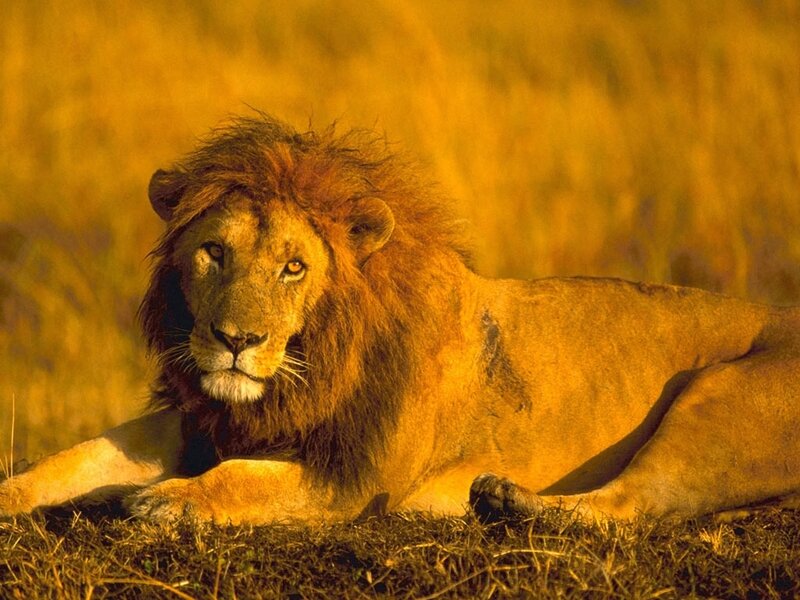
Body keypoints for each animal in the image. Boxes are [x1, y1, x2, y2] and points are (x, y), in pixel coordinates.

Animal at [2, 114, 800, 525]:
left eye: (294, 267)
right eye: (213, 252)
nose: (235, 342)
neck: (305, 367)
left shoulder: (352, 480)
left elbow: (239, 479)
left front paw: (167, 501)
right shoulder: (201, 419)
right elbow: (75, 458)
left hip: (713, 400)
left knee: (636, 504)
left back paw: (511, 504)